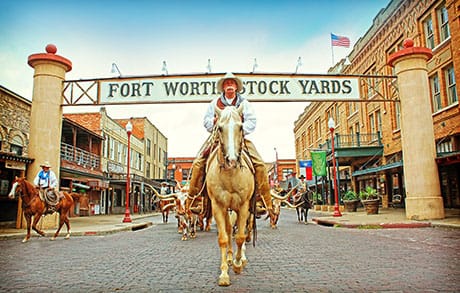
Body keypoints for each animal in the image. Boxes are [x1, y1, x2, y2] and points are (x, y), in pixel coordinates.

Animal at [206, 105, 255, 286]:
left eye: (241, 127)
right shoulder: (218, 206)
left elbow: (240, 237)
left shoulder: (243, 205)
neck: (230, 175)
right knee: (228, 230)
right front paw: (224, 274)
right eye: (219, 128)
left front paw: (238, 264)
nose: (232, 160)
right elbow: (224, 238)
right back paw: (228, 258)